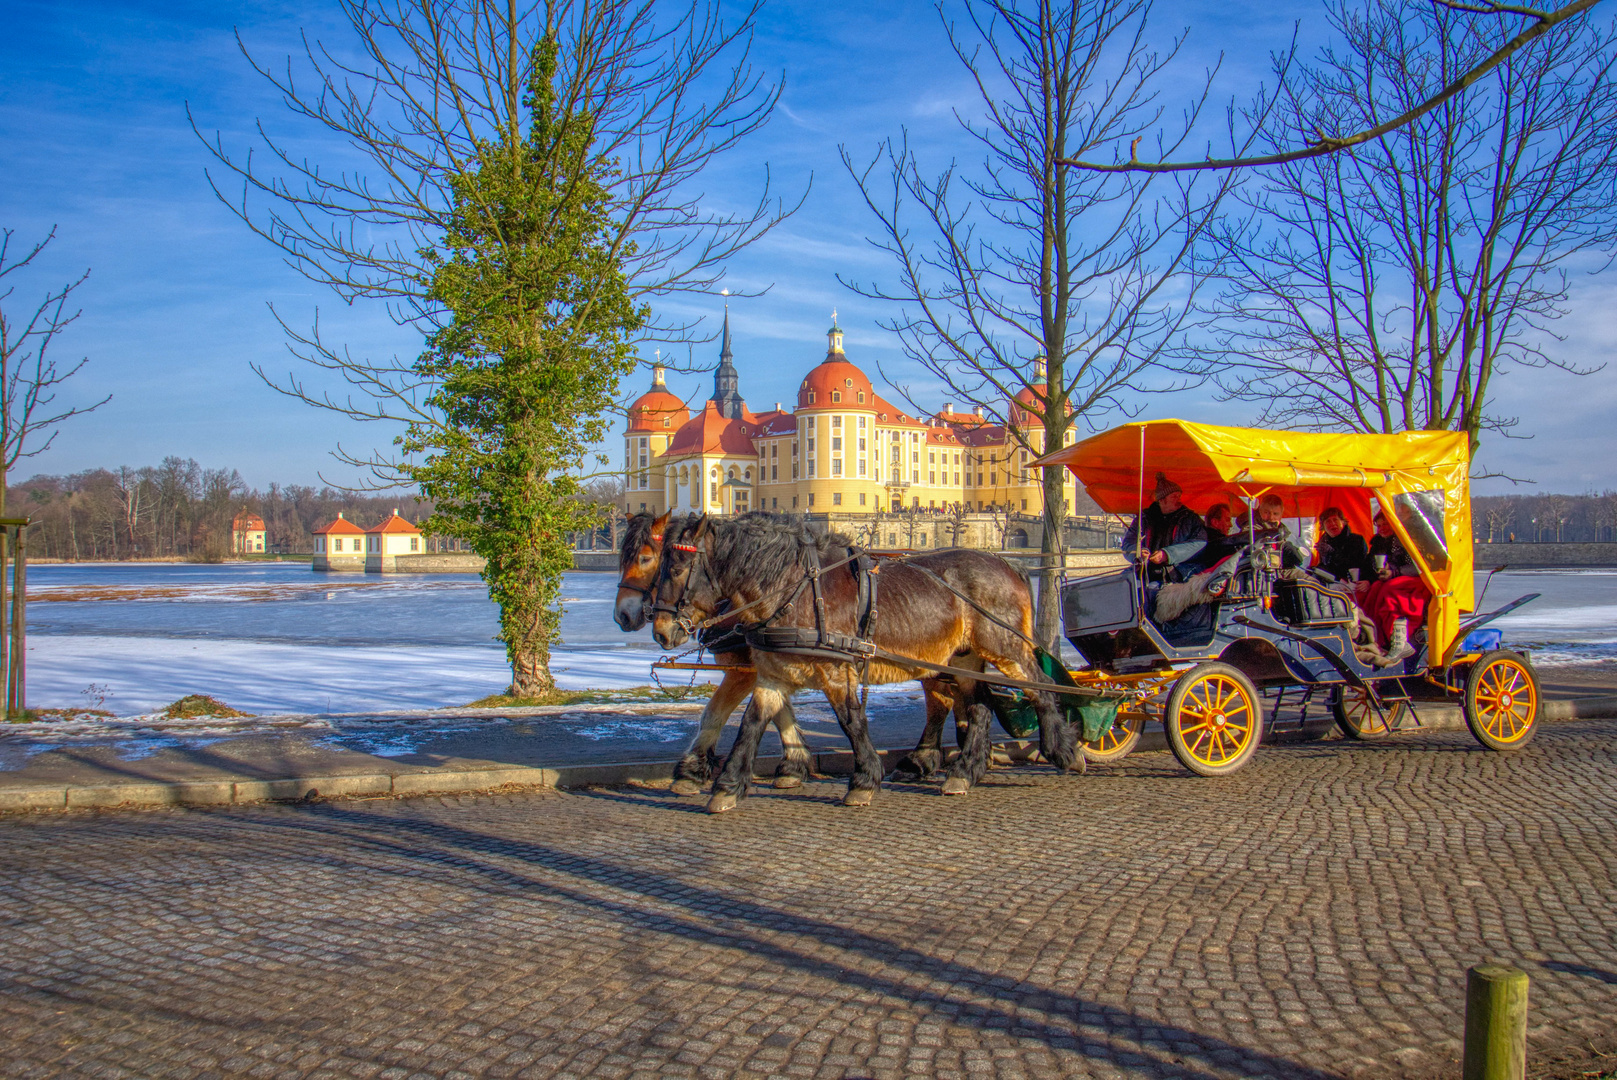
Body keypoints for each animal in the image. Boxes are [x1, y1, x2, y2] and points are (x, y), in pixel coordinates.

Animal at [614, 510, 970, 798]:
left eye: (646, 559)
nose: (624, 616)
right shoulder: (772, 666)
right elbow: (776, 712)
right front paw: (793, 765)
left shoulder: (746, 671)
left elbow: (715, 713)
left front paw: (690, 771)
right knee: (946, 699)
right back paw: (932, 758)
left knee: (946, 700)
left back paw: (938, 760)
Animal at [650, 514, 1080, 808]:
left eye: (677, 567)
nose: (659, 630)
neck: (795, 589)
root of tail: (1010, 563)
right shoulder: (773, 675)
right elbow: (751, 724)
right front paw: (728, 784)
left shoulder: (836, 672)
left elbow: (851, 722)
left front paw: (864, 779)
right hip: (965, 658)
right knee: (976, 707)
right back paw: (965, 770)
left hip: (1004, 647)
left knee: (1040, 688)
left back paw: (1061, 750)